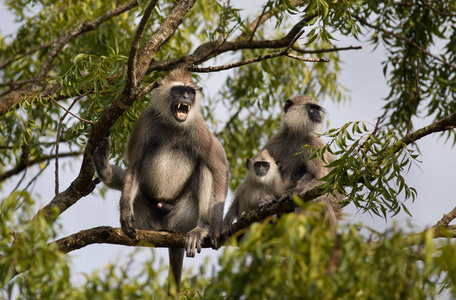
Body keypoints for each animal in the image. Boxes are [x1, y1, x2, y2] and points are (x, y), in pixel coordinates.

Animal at [92, 68, 228, 286]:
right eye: (178, 90)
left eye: (190, 92)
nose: (185, 97)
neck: (173, 124)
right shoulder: (145, 119)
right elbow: (134, 166)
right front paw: (124, 212)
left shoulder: (198, 126)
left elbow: (219, 168)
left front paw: (213, 229)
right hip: (147, 220)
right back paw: (104, 168)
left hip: (183, 216)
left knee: (205, 167)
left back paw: (203, 227)